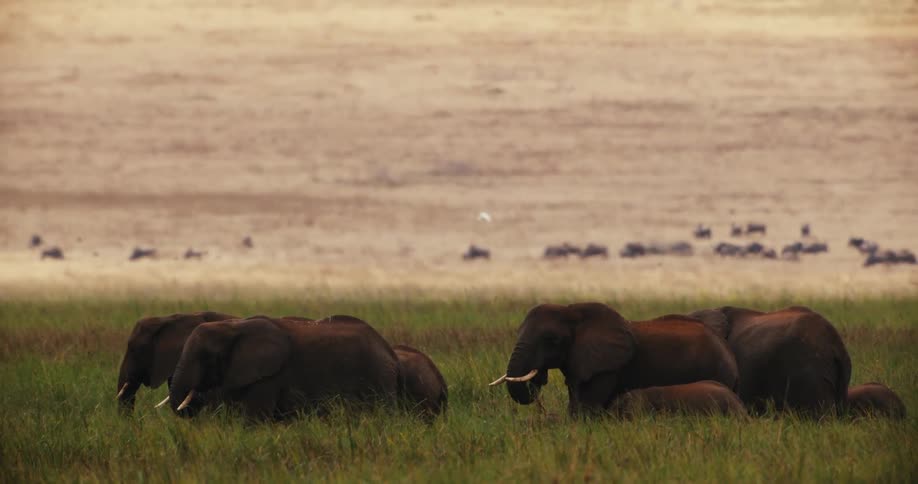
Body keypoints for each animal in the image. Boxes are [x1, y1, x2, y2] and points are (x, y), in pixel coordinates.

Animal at [168, 315, 399, 420]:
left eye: (205, 357)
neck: (234, 326)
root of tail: (388, 349)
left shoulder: (270, 377)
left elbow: (254, 418)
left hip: (377, 376)